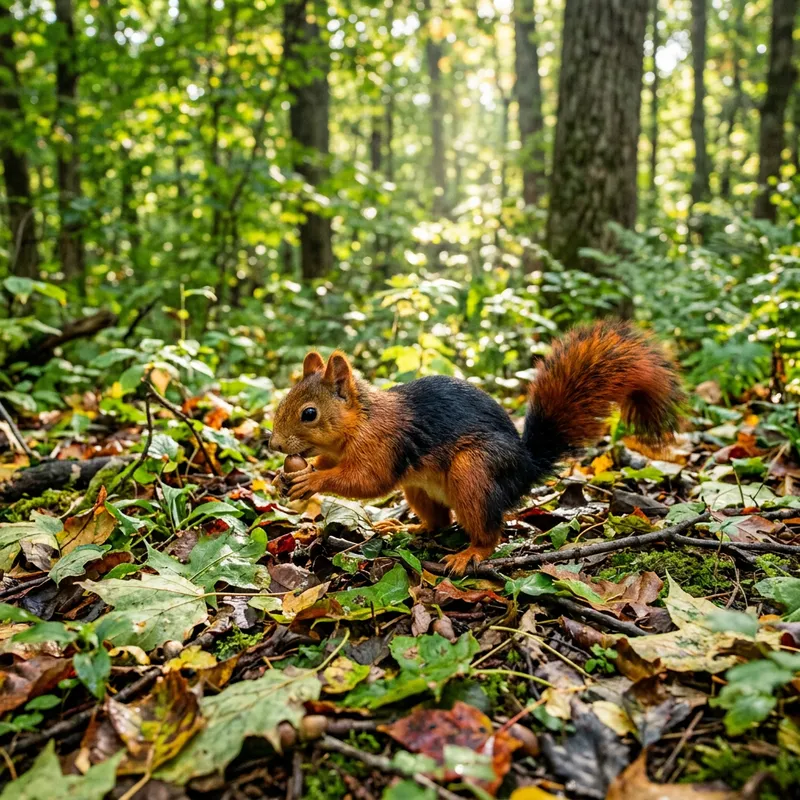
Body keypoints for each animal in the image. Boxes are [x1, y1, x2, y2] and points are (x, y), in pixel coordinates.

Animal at [269, 321, 683, 574]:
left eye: (309, 413)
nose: (273, 443)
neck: (361, 421)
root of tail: (526, 467)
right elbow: (331, 462)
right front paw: (284, 477)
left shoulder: (382, 445)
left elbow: (367, 481)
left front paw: (311, 480)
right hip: (419, 487)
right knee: (439, 521)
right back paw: (408, 527)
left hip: (474, 472)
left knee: (489, 533)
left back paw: (470, 553)